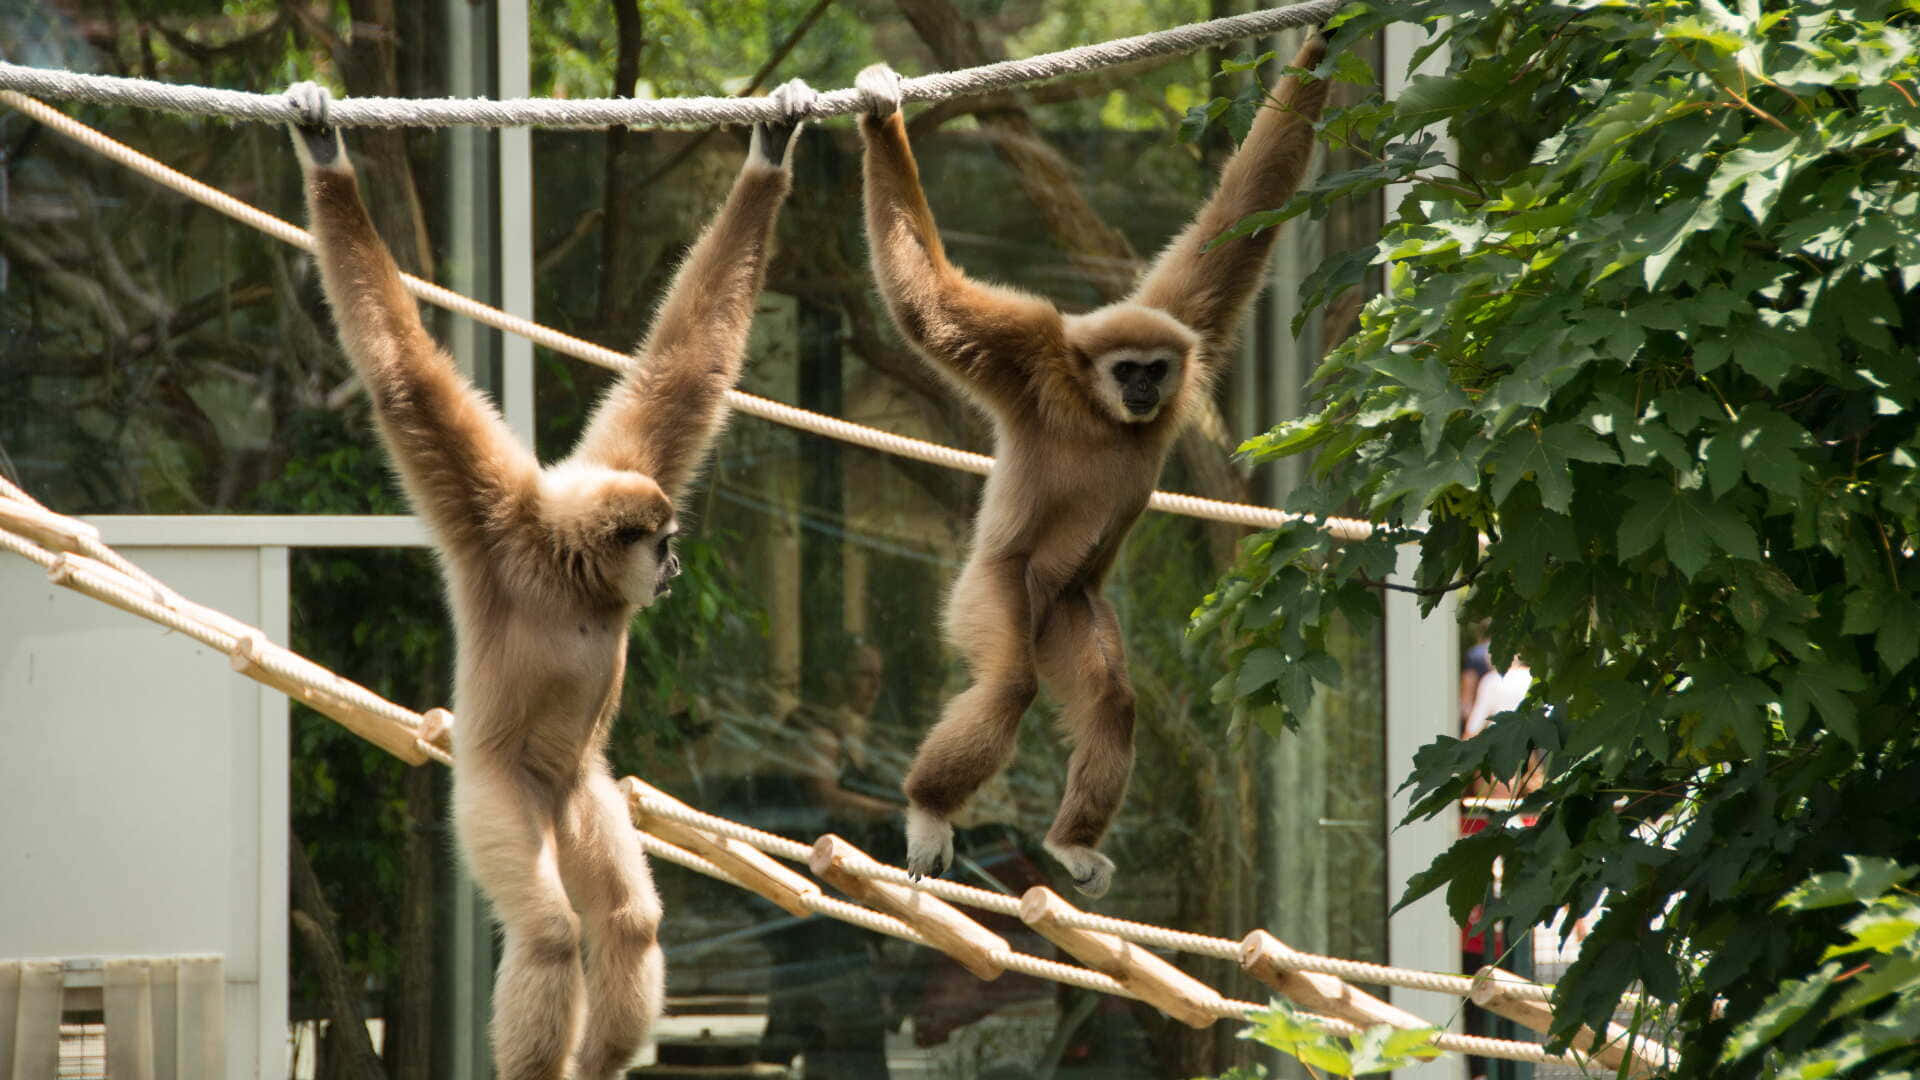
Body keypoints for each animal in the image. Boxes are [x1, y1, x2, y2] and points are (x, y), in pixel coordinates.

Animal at [286, 79, 810, 1080]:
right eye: (664, 544)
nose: (673, 564)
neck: (573, 580)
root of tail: (552, 792)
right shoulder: (492, 520)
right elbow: (403, 380)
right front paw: (326, 156)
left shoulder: (620, 461)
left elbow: (687, 371)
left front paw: (771, 149)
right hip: (496, 793)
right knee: (552, 931)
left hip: (584, 793)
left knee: (628, 920)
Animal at [853, 30, 1331, 899]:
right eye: (1126, 370)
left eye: (1154, 369)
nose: (1145, 389)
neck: (1100, 411)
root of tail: (1042, 604)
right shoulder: (1030, 352)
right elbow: (929, 308)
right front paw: (882, 118)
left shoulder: (1183, 327)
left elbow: (1237, 223)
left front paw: (1327, 40)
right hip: (993, 589)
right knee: (1010, 682)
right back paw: (929, 808)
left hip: (1071, 607)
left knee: (1110, 698)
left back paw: (1068, 840)